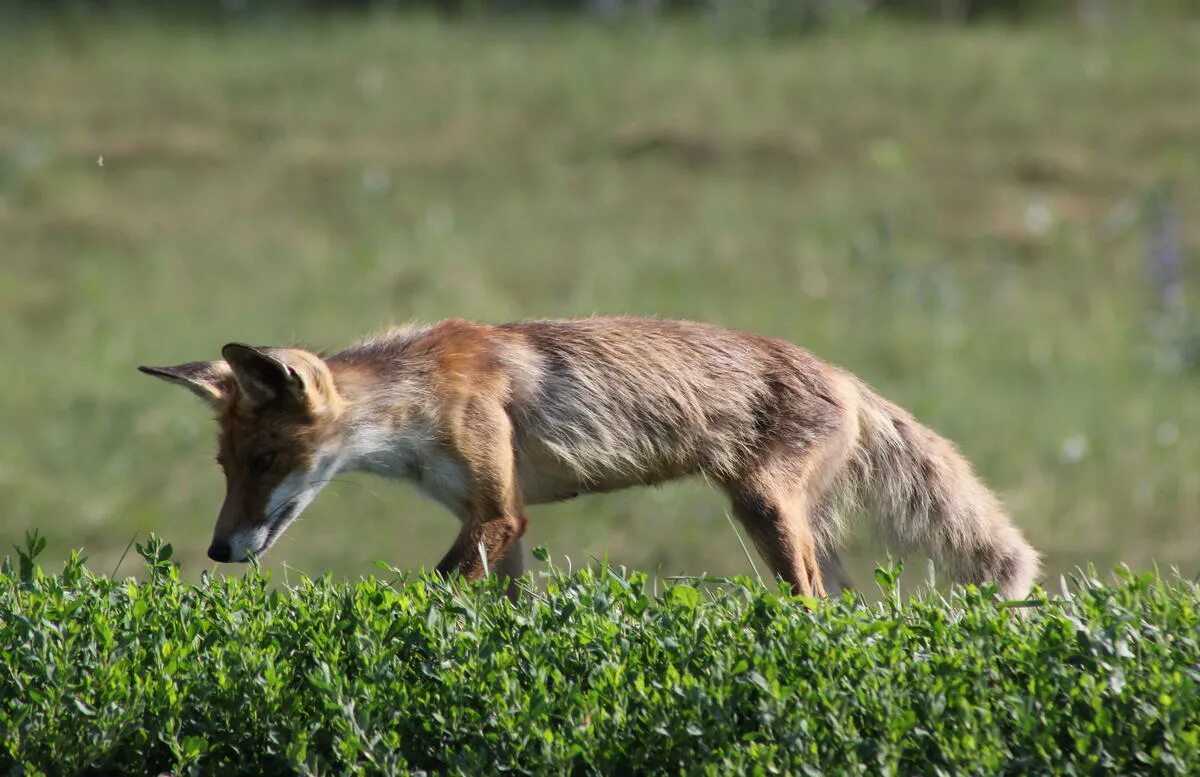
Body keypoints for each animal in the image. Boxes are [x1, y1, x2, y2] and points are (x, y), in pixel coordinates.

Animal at [138, 318, 1041, 597]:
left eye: (266, 459)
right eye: (227, 467)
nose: (219, 549)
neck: (419, 398)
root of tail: (845, 377)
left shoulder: (497, 512)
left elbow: (429, 591)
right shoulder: (492, 517)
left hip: (762, 511)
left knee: (813, 605)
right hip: (805, 527)